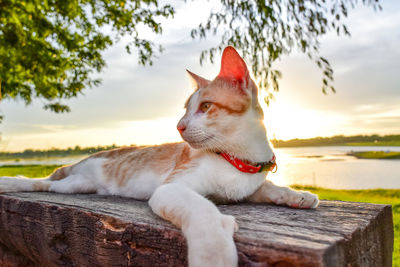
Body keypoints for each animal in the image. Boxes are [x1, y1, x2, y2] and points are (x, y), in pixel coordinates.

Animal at [0, 47, 318, 266]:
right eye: (186, 108)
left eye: (205, 106)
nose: (179, 126)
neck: (238, 158)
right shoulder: (172, 188)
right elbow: (203, 212)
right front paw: (213, 252)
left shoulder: (247, 185)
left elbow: (268, 187)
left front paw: (296, 195)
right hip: (70, 181)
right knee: (42, 182)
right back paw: (11, 182)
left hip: (79, 185)